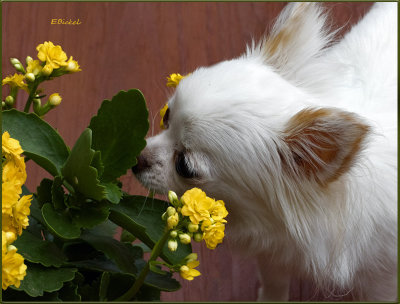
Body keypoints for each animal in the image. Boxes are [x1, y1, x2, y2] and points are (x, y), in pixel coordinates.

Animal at [134, 2, 396, 302]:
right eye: (166, 117)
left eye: (185, 167)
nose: (136, 160)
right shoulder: (273, 252)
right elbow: (274, 282)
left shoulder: (383, 279)